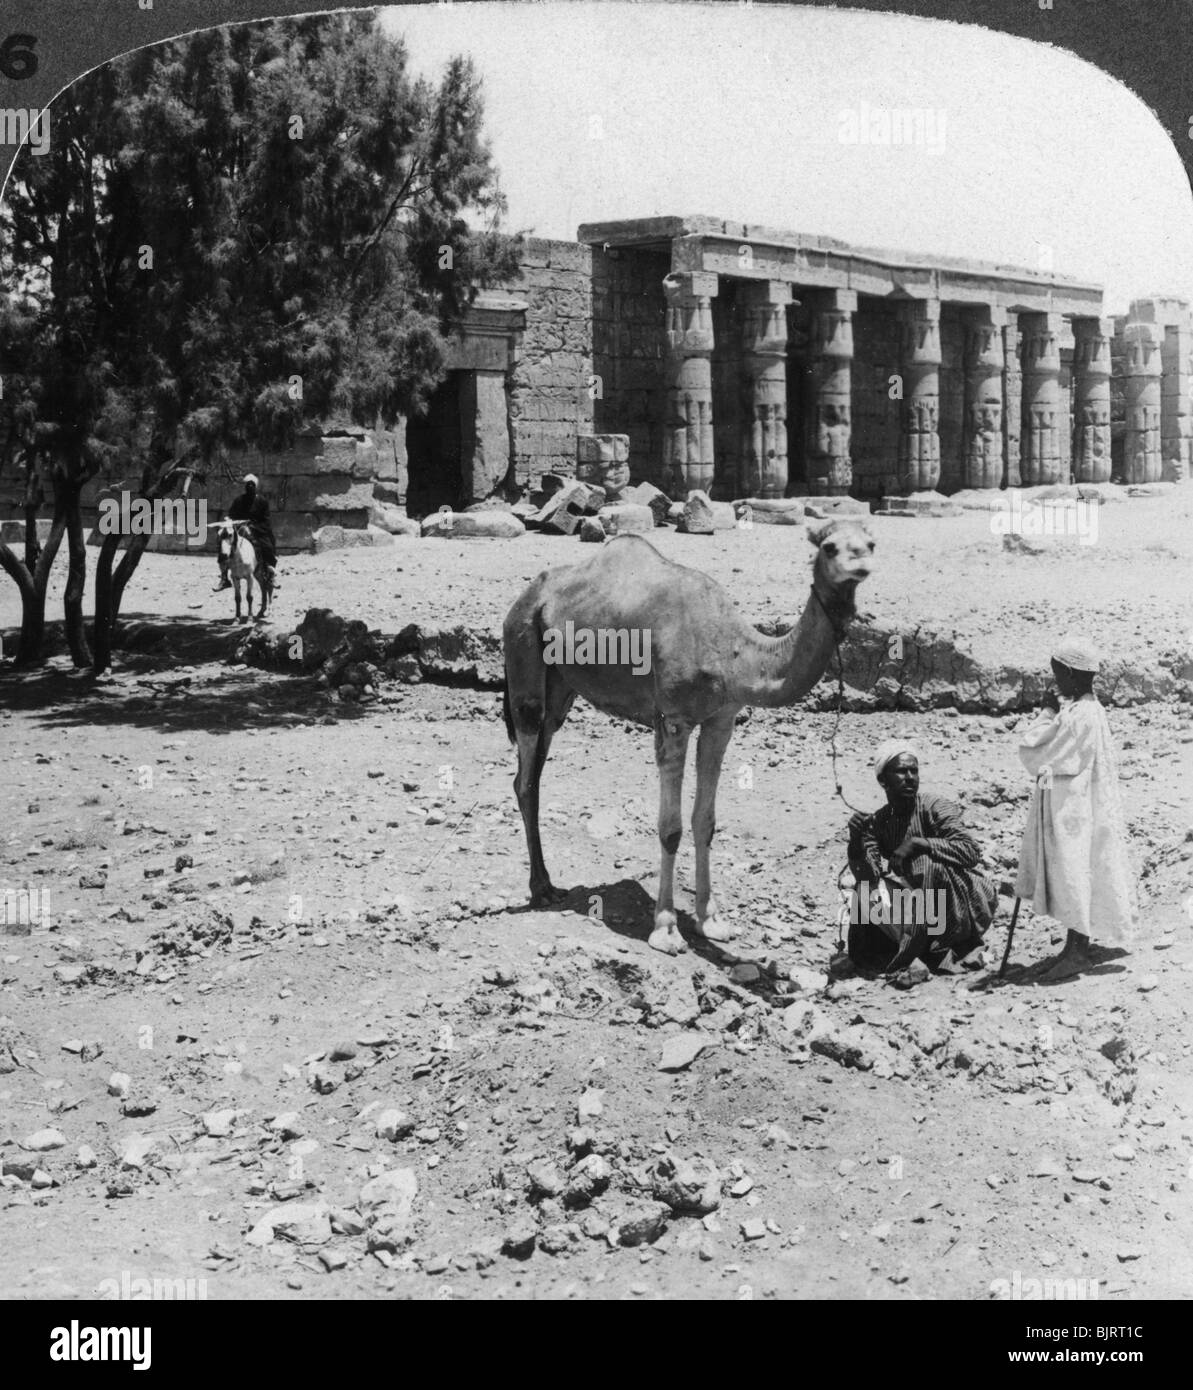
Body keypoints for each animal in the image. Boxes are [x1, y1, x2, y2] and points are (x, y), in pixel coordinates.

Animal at [503, 522, 873, 956]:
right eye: (829, 547)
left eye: (871, 543)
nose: (860, 565)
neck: (734, 656)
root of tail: (530, 595)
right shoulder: (675, 720)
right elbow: (670, 828)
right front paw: (665, 929)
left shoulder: (721, 720)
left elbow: (705, 821)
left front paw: (710, 920)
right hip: (523, 652)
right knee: (526, 776)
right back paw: (542, 888)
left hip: (561, 686)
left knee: (534, 768)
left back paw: (545, 883)